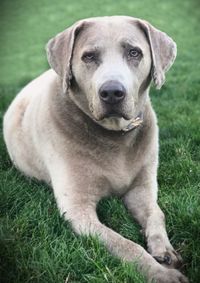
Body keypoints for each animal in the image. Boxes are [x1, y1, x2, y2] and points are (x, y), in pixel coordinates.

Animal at [3, 16, 189, 282]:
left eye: (134, 52)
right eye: (89, 56)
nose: (112, 92)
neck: (114, 137)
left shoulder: (142, 189)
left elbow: (157, 214)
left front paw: (164, 251)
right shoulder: (77, 210)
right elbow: (125, 245)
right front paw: (161, 273)